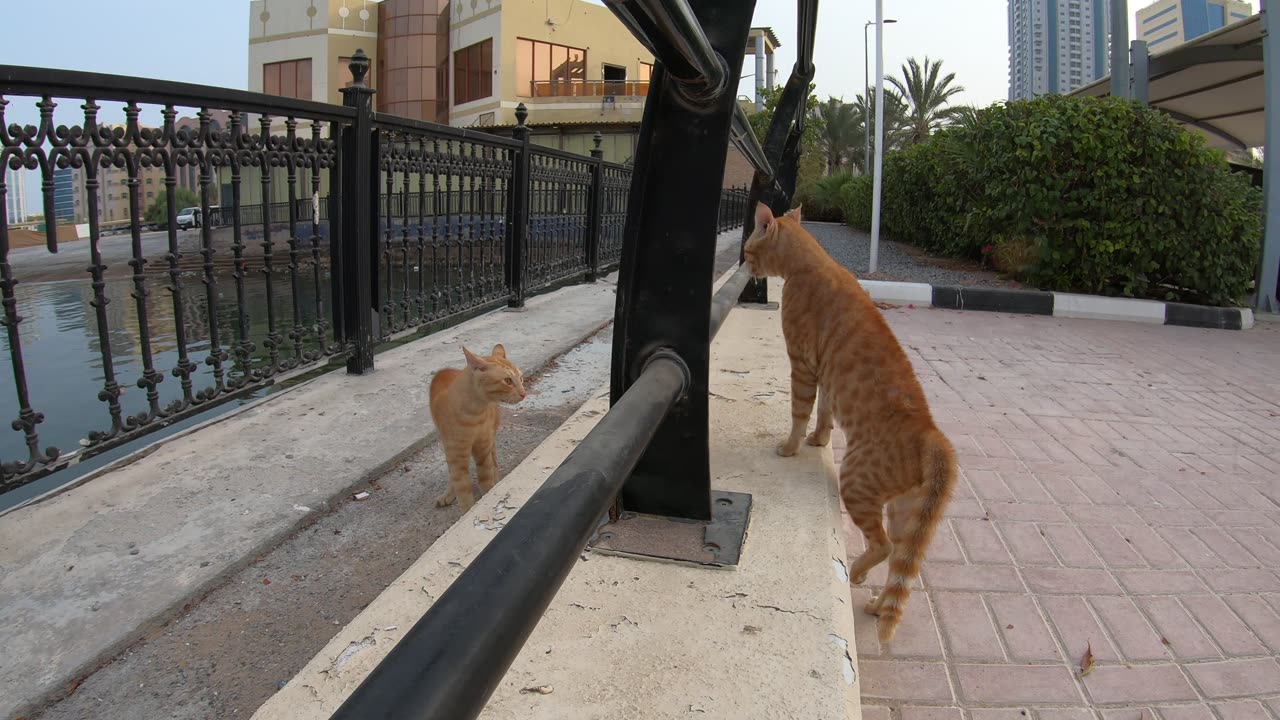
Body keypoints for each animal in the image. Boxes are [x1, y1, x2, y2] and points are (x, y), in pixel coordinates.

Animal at [432, 343, 527, 507]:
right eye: (508, 381)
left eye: (521, 378)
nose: (524, 393)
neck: (473, 414)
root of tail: (445, 369)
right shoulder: (456, 456)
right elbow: (463, 494)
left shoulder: (483, 450)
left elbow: (487, 483)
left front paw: (490, 493)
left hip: (490, 440)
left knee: (494, 460)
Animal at [747, 199, 957, 638]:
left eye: (748, 248)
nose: (744, 262)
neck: (811, 263)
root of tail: (933, 434)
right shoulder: (825, 373)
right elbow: (824, 412)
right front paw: (819, 440)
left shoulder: (802, 365)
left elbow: (800, 411)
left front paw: (790, 447)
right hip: (906, 513)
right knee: (900, 567)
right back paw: (877, 605)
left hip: (856, 482)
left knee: (883, 546)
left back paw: (857, 576)